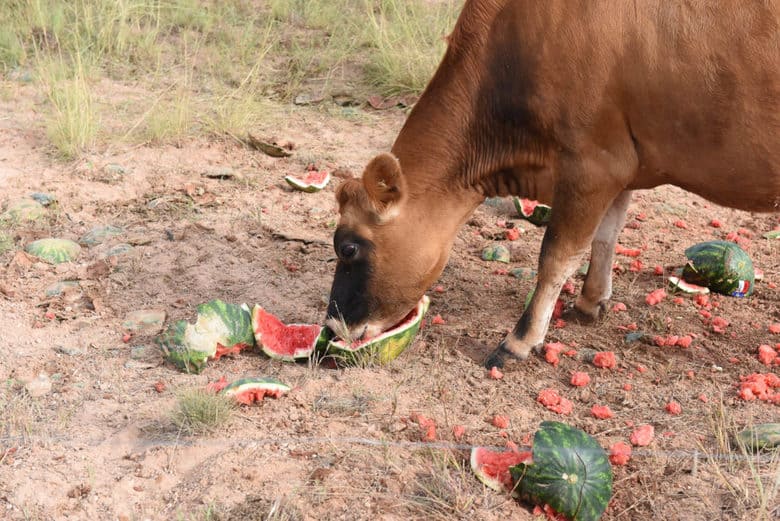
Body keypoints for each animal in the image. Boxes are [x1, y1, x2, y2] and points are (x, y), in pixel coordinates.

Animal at [324, 0, 780, 368]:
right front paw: (591, 302)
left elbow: (557, 256)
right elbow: (606, 236)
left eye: (348, 247)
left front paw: (518, 342)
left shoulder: (593, 162)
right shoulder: (622, 164)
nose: (330, 327)